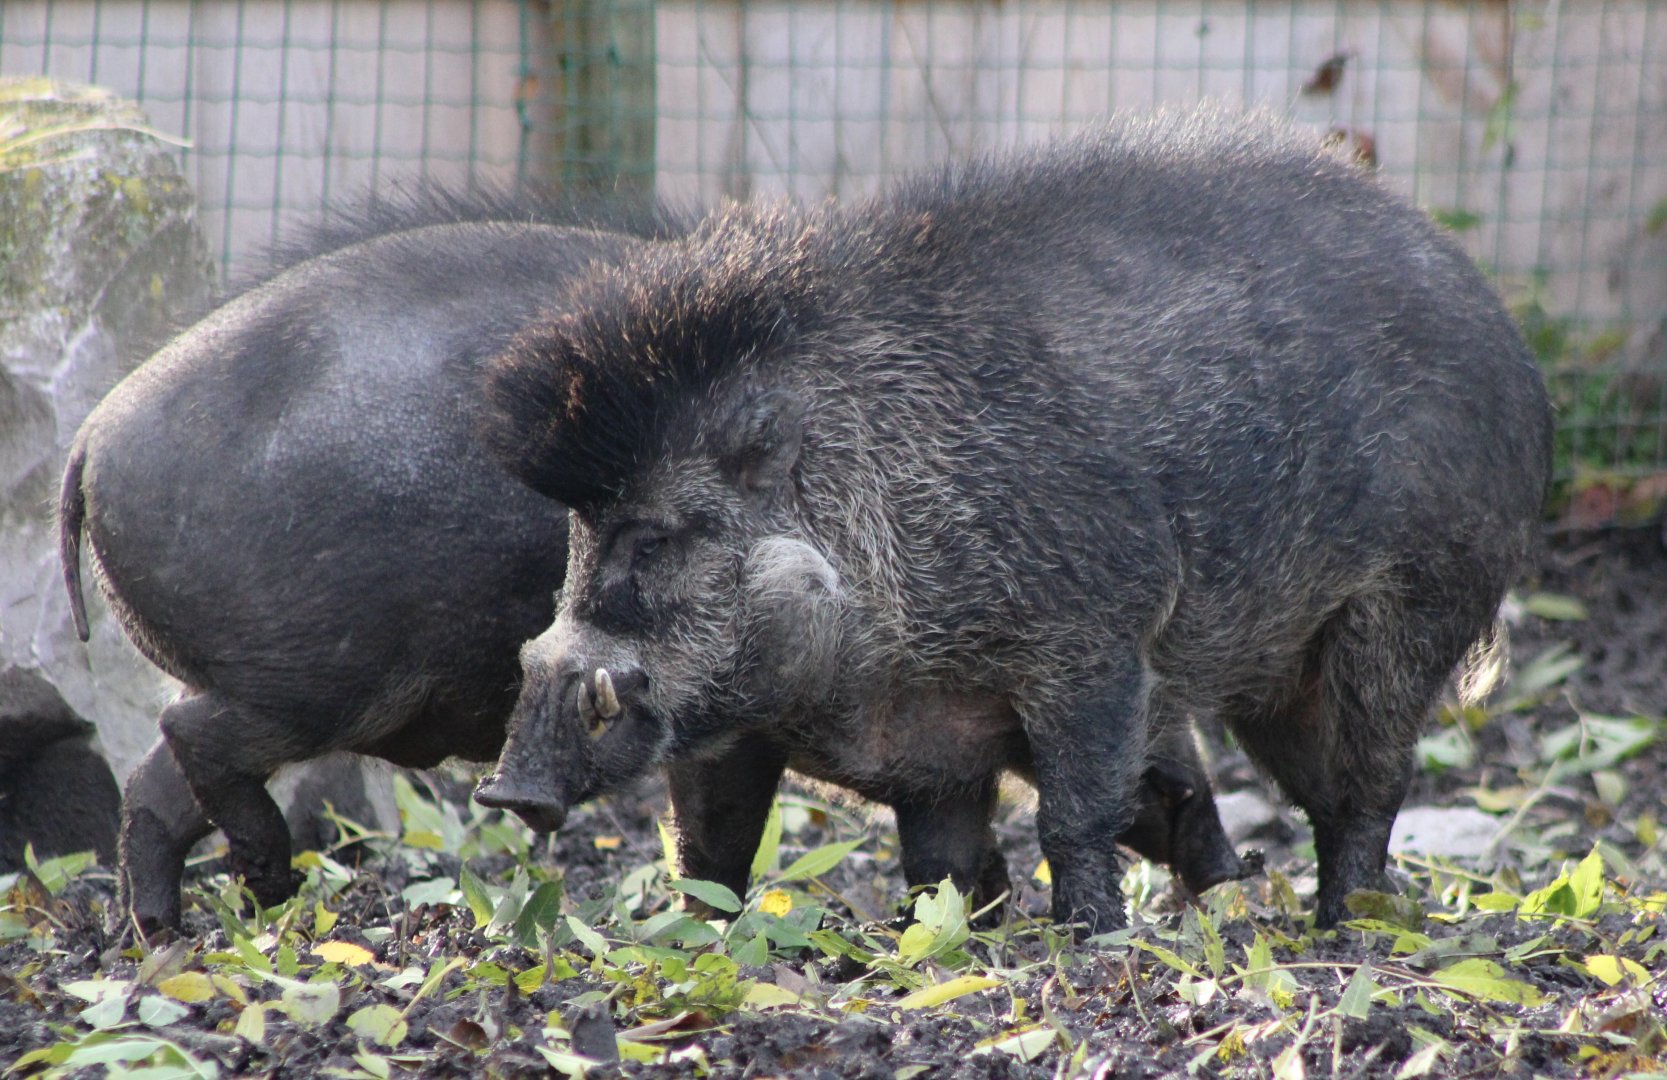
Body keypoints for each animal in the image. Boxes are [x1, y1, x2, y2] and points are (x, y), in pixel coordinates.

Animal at [59, 200, 665, 936]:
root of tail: (91, 438)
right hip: (312, 678)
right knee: (192, 739)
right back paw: (265, 887)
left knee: (154, 785)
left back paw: (163, 932)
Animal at [474, 109, 1553, 934]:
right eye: (576, 536)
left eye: (656, 536)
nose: (507, 791)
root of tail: (1500, 334)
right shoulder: (839, 738)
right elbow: (744, 847)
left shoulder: (1096, 638)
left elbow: (1072, 816)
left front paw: (1088, 941)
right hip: (1278, 671)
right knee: (1320, 791)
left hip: (1412, 599)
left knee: (1371, 783)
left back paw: (1342, 929)